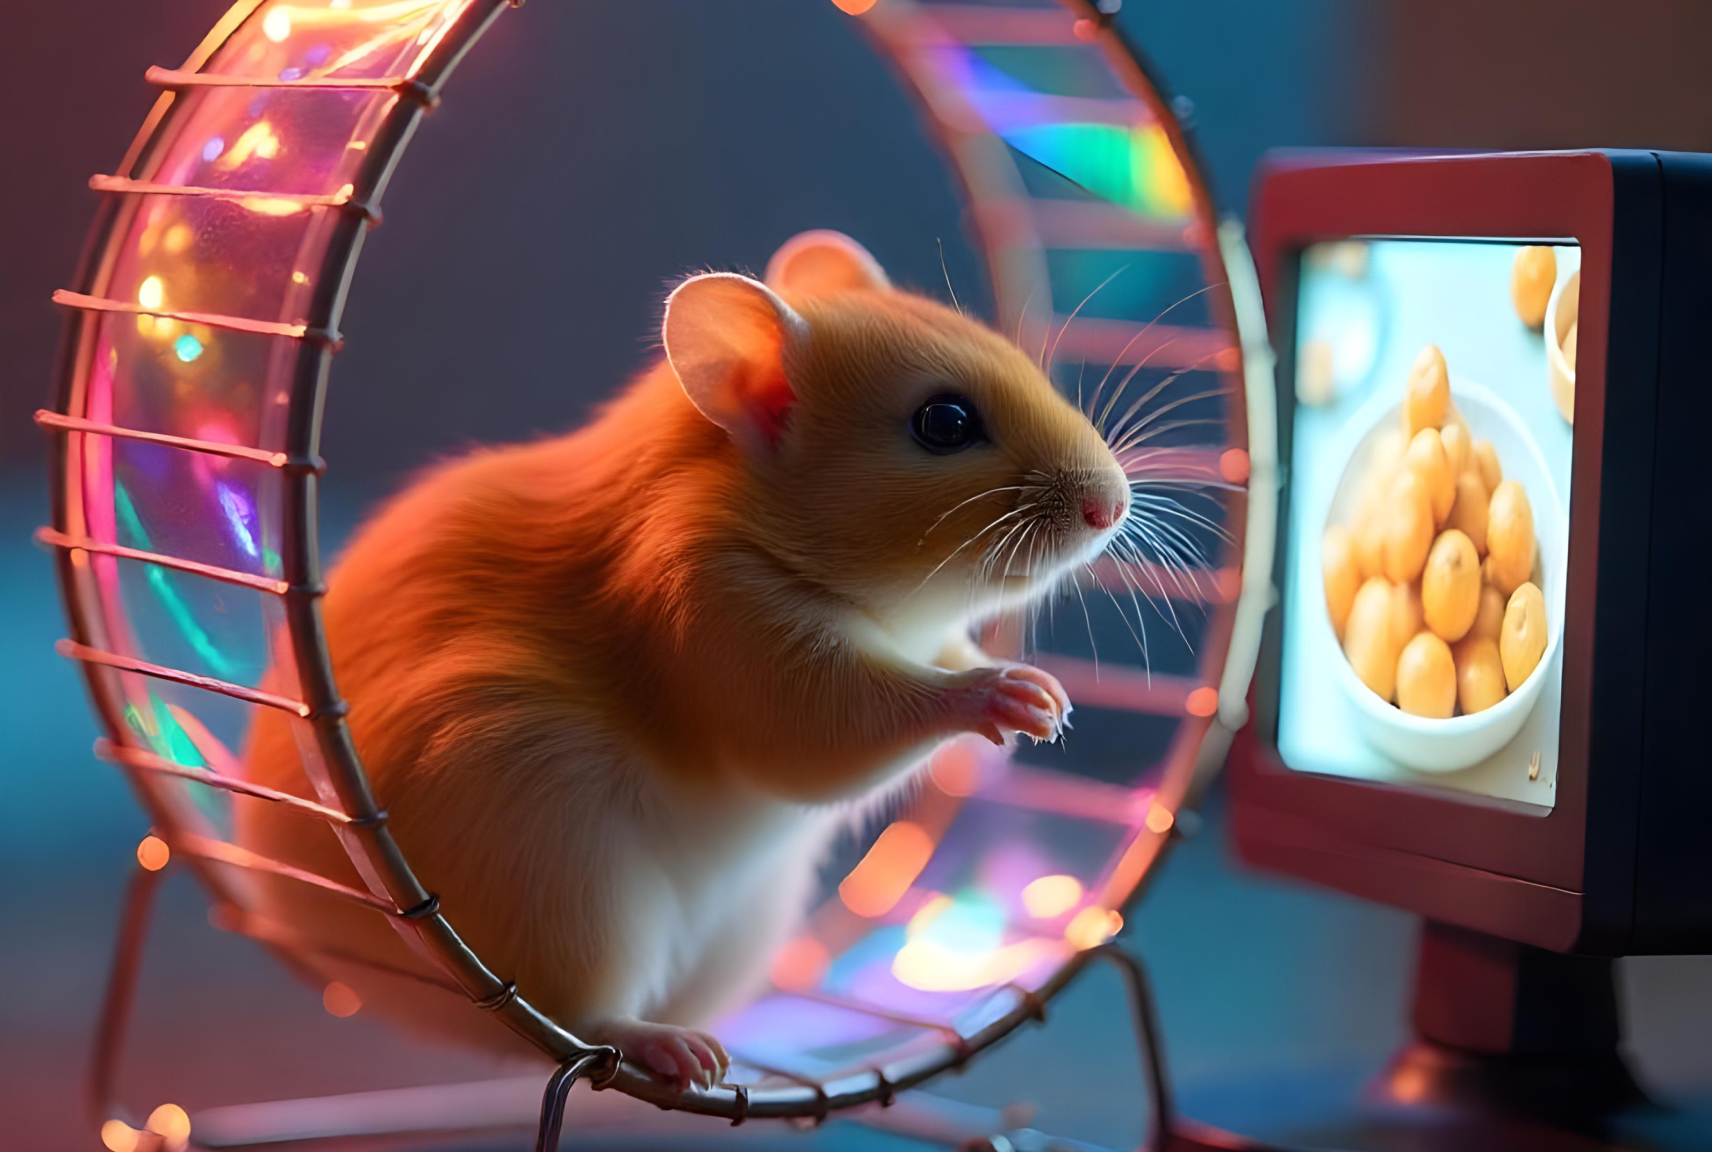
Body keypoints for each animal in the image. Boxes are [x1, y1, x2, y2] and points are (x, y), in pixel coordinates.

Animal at [238, 230, 1131, 1089]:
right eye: (943, 423)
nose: (1112, 506)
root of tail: (329, 950)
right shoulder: (727, 624)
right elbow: (842, 731)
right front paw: (1005, 693)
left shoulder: (919, 635)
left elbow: (946, 655)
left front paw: (1045, 702)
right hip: (563, 883)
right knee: (589, 1025)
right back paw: (674, 1049)